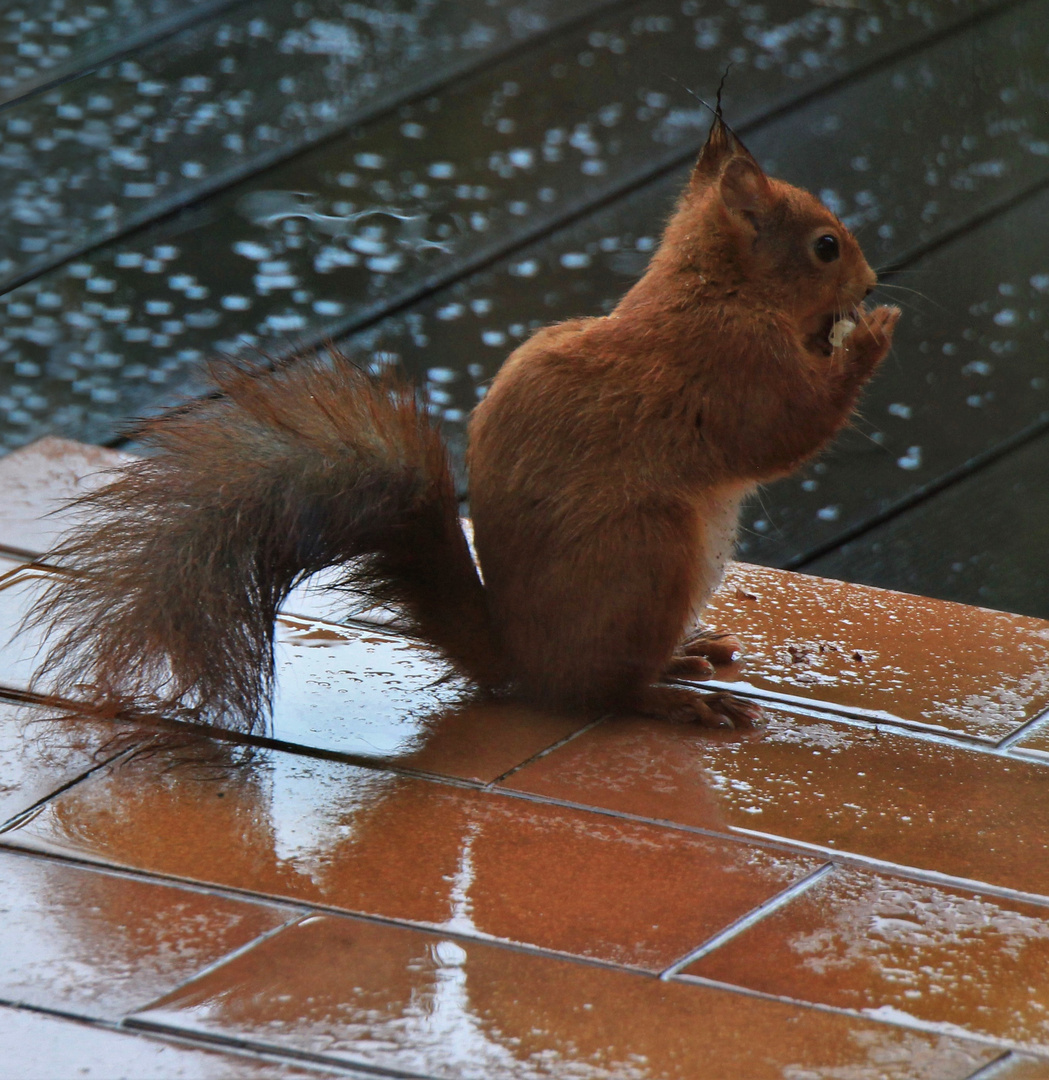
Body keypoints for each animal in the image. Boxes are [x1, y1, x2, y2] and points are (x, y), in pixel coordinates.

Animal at [28, 111, 903, 734]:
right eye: (825, 247)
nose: (868, 281)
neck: (715, 290)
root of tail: (521, 661)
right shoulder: (731, 367)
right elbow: (784, 432)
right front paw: (870, 336)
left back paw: (684, 656)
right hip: (647, 555)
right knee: (601, 692)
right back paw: (667, 696)